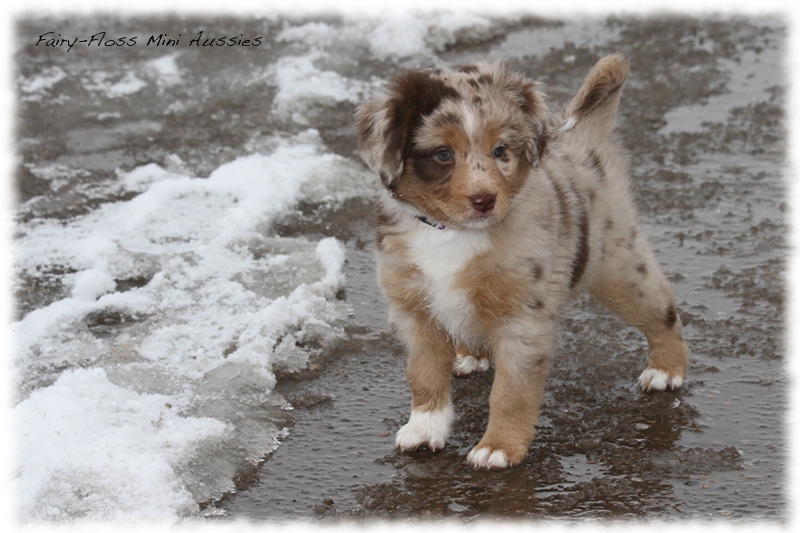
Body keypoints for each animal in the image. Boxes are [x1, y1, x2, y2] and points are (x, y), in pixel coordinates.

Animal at [354, 55, 688, 470]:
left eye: (500, 150)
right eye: (443, 154)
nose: (484, 200)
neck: (453, 233)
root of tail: (580, 137)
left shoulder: (524, 319)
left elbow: (511, 392)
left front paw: (499, 447)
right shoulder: (414, 310)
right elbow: (423, 375)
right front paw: (424, 428)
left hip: (619, 266)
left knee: (662, 310)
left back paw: (666, 369)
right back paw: (471, 356)